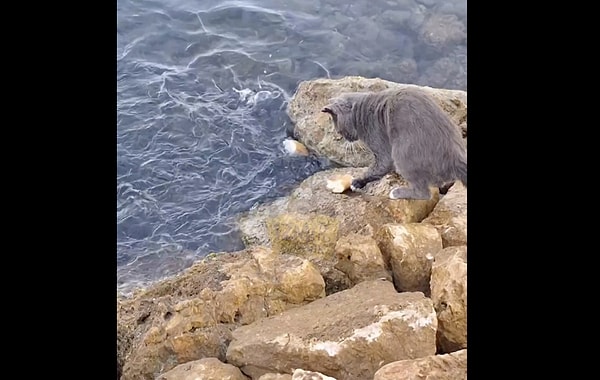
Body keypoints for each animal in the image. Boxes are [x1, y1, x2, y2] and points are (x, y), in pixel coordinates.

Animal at [324, 86, 468, 199]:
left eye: (339, 130)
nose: (345, 138)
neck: (363, 111)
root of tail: (456, 157)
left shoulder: (379, 141)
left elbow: (381, 165)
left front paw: (357, 182)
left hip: (402, 152)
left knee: (423, 193)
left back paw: (397, 193)